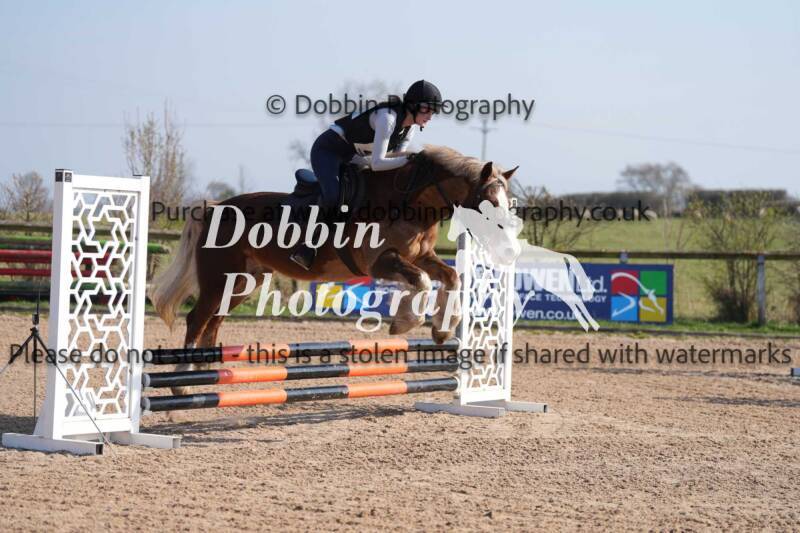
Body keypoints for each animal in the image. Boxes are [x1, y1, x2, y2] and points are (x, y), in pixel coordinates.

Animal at [149, 145, 519, 395]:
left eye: (509, 203)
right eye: (489, 205)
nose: (509, 251)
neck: (412, 202)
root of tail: (214, 207)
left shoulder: (423, 255)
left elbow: (450, 276)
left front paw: (442, 330)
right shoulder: (381, 261)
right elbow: (423, 281)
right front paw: (404, 322)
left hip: (243, 281)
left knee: (214, 320)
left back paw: (204, 370)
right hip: (219, 279)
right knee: (197, 318)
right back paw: (182, 383)